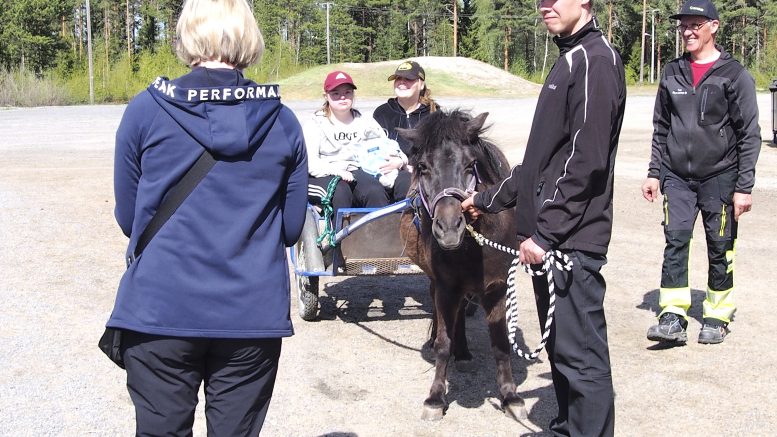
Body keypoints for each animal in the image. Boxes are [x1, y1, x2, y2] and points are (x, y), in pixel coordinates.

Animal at [398, 109, 524, 418]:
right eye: (423, 166)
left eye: (470, 165)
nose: (449, 228)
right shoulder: (446, 287)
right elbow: (444, 342)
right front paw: (435, 398)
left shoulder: (496, 288)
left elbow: (501, 344)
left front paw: (510, 396)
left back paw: (464, 353)